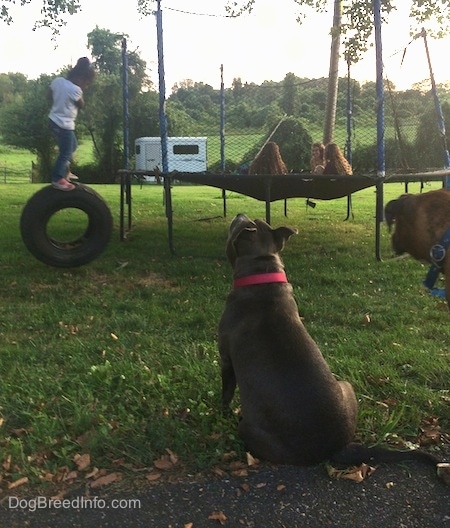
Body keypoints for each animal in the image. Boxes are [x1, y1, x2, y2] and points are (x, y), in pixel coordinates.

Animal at [218, 214, 442, 470]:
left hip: (248, 429)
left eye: (244, 221)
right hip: (347, 386)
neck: (262, 278)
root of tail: (337, 448)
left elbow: (225, 393)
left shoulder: (226, 360)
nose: (239, 215)